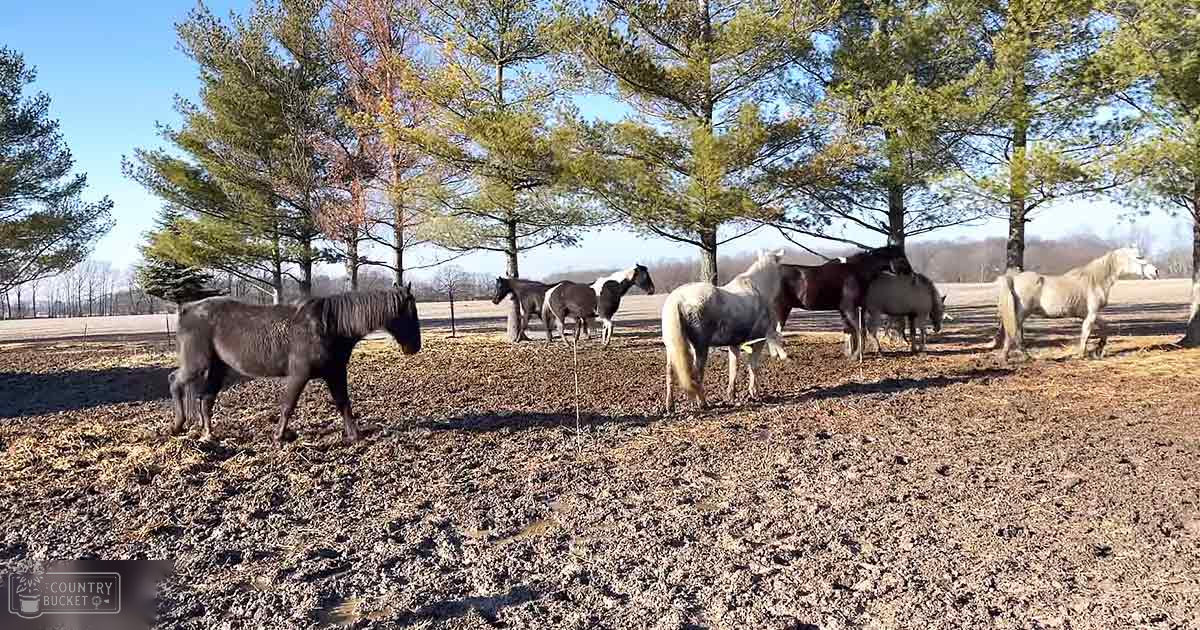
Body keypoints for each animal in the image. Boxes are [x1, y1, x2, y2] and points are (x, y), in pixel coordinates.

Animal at [169, 287, 421, 444]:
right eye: (411, 314)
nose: (415, 347)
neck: (328, 325)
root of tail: (186, 309)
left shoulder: (335, 373)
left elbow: (343, 404)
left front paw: (354, 435)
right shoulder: (300, 375)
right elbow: (288, 406)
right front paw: (279, 436)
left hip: (217, 368)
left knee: (206, 399)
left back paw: (208, 435)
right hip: (197, 365)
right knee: (175, 382)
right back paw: (178, 425)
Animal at [661, 250, 789, 413]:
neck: (758, 288)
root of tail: (678, 298)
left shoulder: (734, 343)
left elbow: (733, 367)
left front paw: (731, 395)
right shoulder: (758, 339)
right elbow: (753, 365)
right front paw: (754, 392)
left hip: (672, 347)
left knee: (670, 372)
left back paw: (670, 405)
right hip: (700, 347)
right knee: (696, 373)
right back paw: (702, 403)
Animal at [775, 245, 914, 360]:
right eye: (902, 258)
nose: (911, 276)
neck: (856, 272)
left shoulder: (850, 310)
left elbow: (851, 330)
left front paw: (851, 353)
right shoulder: (850, 309)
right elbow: (860, 330)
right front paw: (856, 355)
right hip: (782, 308)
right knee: (776, 331)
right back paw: (784, 356)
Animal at [995, 247, 1159, 363]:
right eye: (1139, 257)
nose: (1156, 271)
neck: (1095, 280)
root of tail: (1013, 279)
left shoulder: (1088, 314)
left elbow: (1105, 328)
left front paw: (1098, 350)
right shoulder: (1092, 314)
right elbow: (1086, 333)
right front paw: (1082, 354)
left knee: (1010, 334)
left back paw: (1006, 358)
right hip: (1021, 314)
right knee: (1014, 334)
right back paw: (1026, 357)